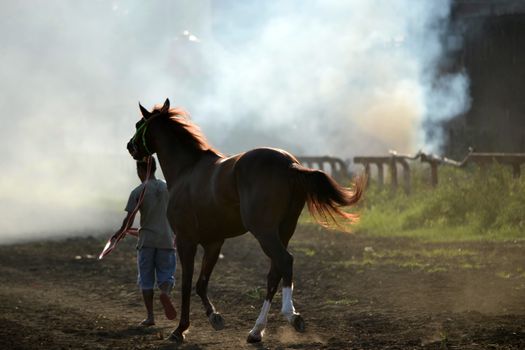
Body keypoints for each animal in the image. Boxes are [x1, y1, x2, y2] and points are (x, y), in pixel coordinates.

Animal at [126, 98, 364, 344]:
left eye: (138, 124)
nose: (130, 147)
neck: (187, 172)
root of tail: (289, 164)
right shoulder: (214, 242)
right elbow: (201, 283)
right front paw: (214, 317)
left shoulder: (186, 241)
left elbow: (187, 284)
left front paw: (180, 329)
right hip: (284, 230)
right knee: (274, 273)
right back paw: (256, 330)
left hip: (264, 231)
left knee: (285, 261)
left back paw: (291, 315)